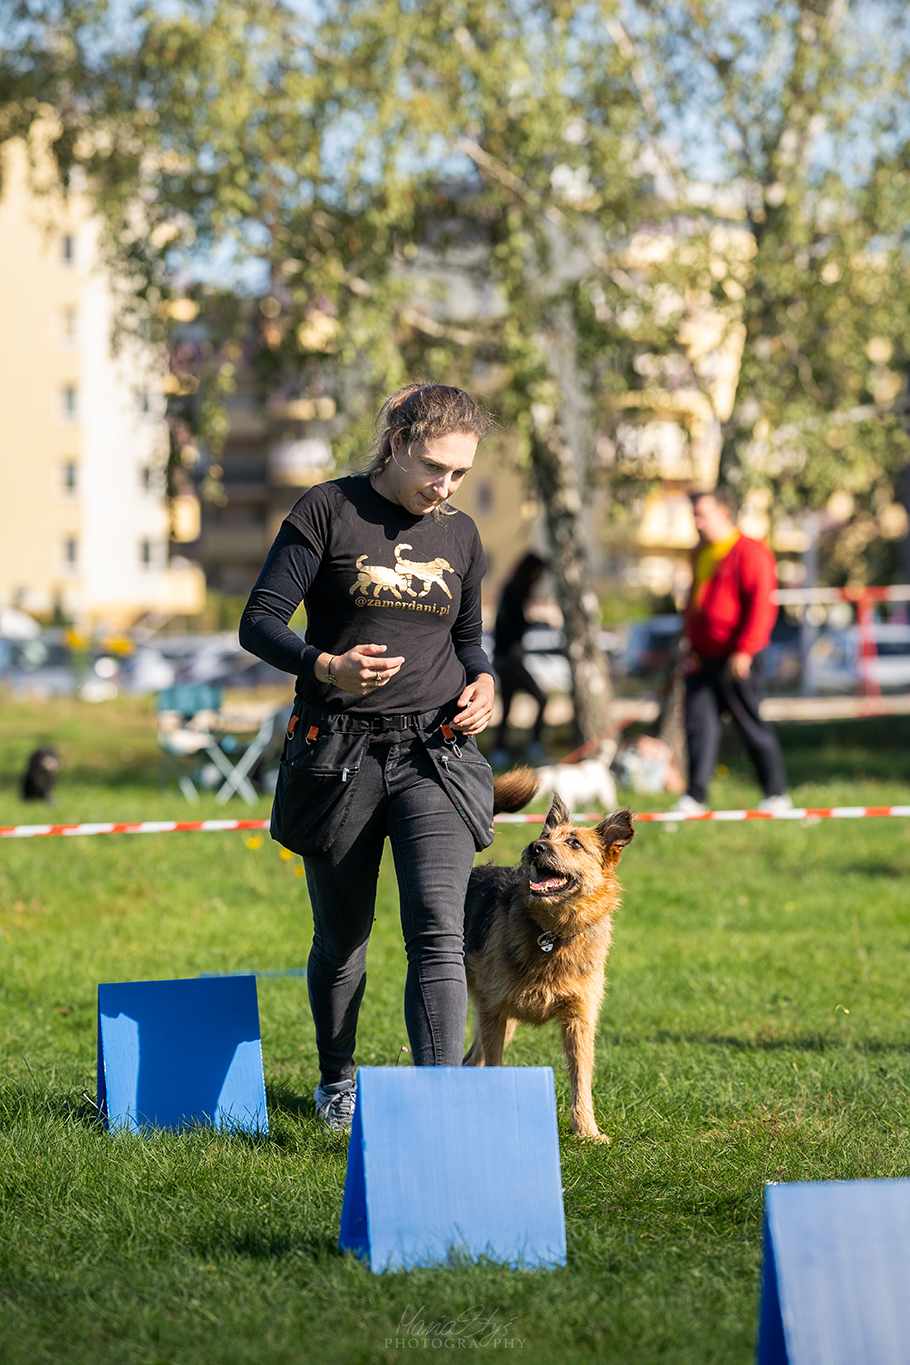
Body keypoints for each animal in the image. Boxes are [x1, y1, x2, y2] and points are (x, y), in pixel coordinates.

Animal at [463, 769, 633, 1141]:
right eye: (544, 836)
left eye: (574, 844)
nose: (534, 847)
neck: (552, 934)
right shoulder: (494, 1012)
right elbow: (496, 1066)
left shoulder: (580, 1020)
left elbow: (581, 1079)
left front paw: (587, 1131)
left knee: (470, 1061)